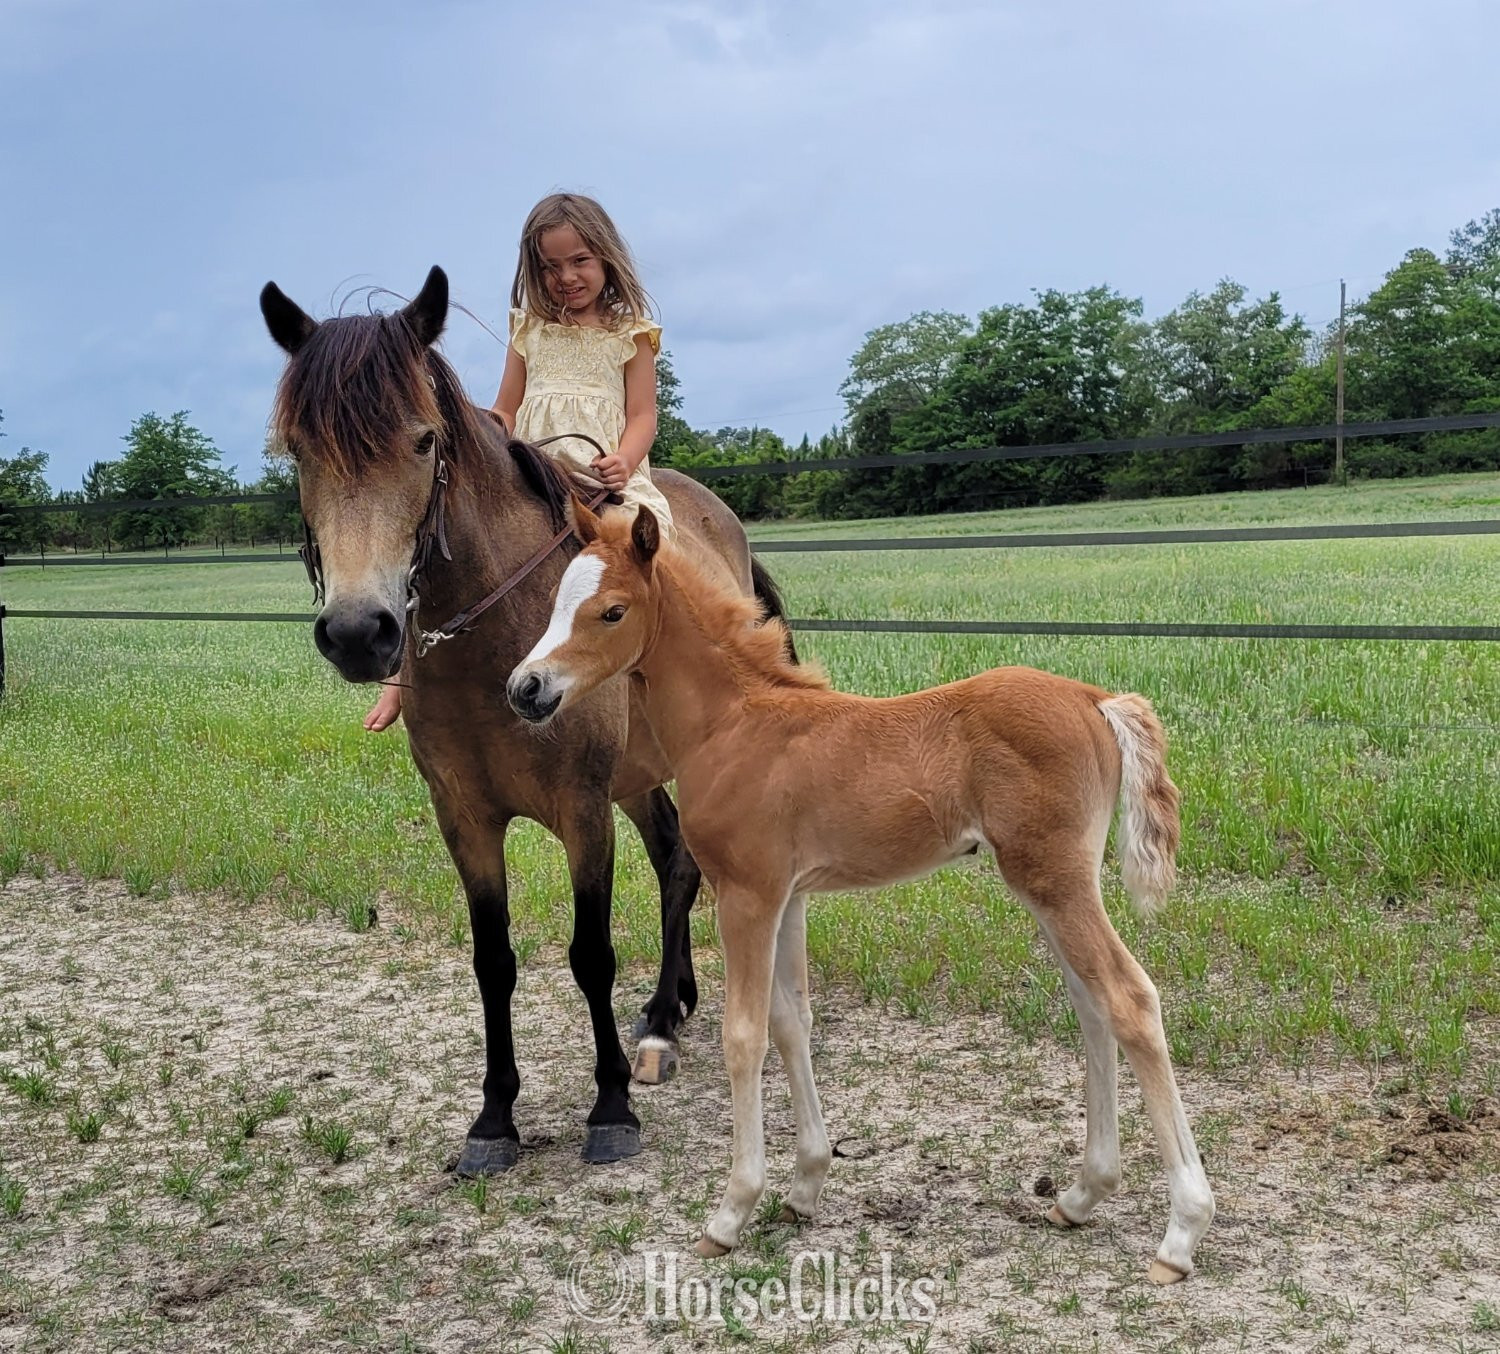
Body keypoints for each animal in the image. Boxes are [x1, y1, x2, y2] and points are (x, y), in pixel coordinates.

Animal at [259, 266, 793, 1170]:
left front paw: (609, 1106)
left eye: (424, 441)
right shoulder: (465, 818)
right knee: (673, 858)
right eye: (299, 450)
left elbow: (590, 954)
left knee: (685, 867)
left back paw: (659, 1023)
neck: (496, 643)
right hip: (636, 779)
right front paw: (494, 1117)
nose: (361, 633)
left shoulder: (582, 811)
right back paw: (669, 1011)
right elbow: (493, 960)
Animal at [505, 502, 1216, 1284]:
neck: (734, 725)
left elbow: (743, 1036)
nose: (525, 689)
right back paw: (1082, 1195)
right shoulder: (787, 896)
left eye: (612, 611)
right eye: (556, 601)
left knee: (1129, 999)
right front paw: (805, 1186)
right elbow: (792, 1022)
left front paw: (731, 1212)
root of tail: (1095, 698)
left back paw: (1181, 1232)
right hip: (1050, 885)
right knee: (1092, 1009)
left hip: (1054, 880)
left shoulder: (746, 894)